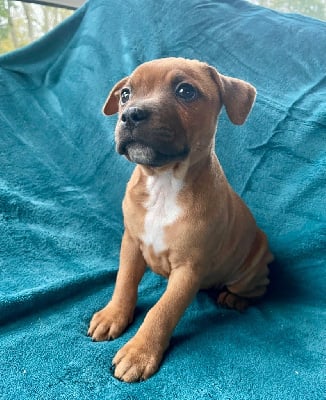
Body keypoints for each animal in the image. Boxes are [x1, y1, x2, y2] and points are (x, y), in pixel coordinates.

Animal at [88, 57, 274, 382]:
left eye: (186, 91)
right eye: (125, 94)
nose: (130, 114)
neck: (164, 183)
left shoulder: (189, 269)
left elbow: (163, 311)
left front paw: (139, 352)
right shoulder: (131, 243)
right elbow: (124, 282)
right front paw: (113, 315)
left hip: (249, 273)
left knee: (257, 290)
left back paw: (235, 299)